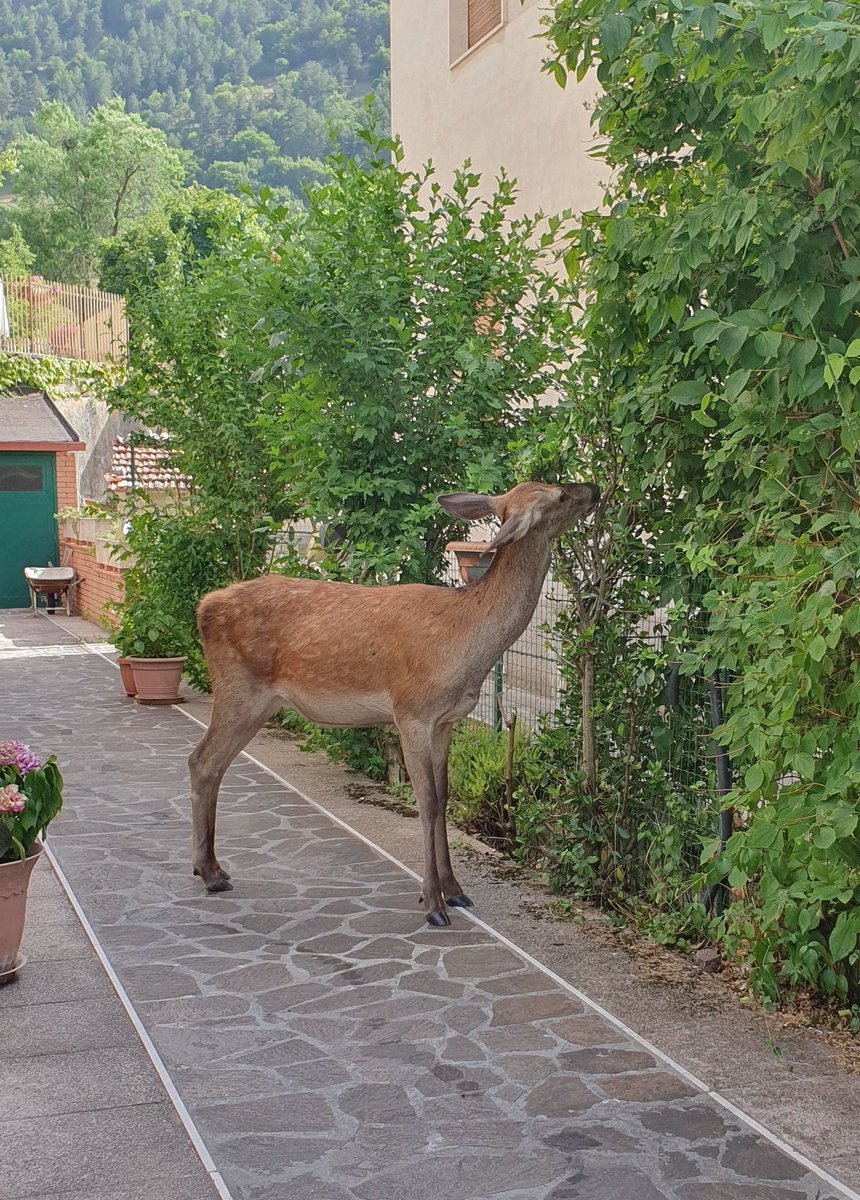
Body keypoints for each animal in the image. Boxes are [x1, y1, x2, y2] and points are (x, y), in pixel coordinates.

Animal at [189, 480, 600, 927]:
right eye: (560, 495)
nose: (594, 490)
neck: (466, 643)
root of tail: (203, 607)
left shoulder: (446, 720)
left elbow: (445, 797)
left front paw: (456, 890)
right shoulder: (412, 712)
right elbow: (428, 802)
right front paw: (433, 903)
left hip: (258, 703)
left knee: (214, 764)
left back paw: (210, 867)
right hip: (238, 690)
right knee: (202, 760)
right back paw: (210, 873)